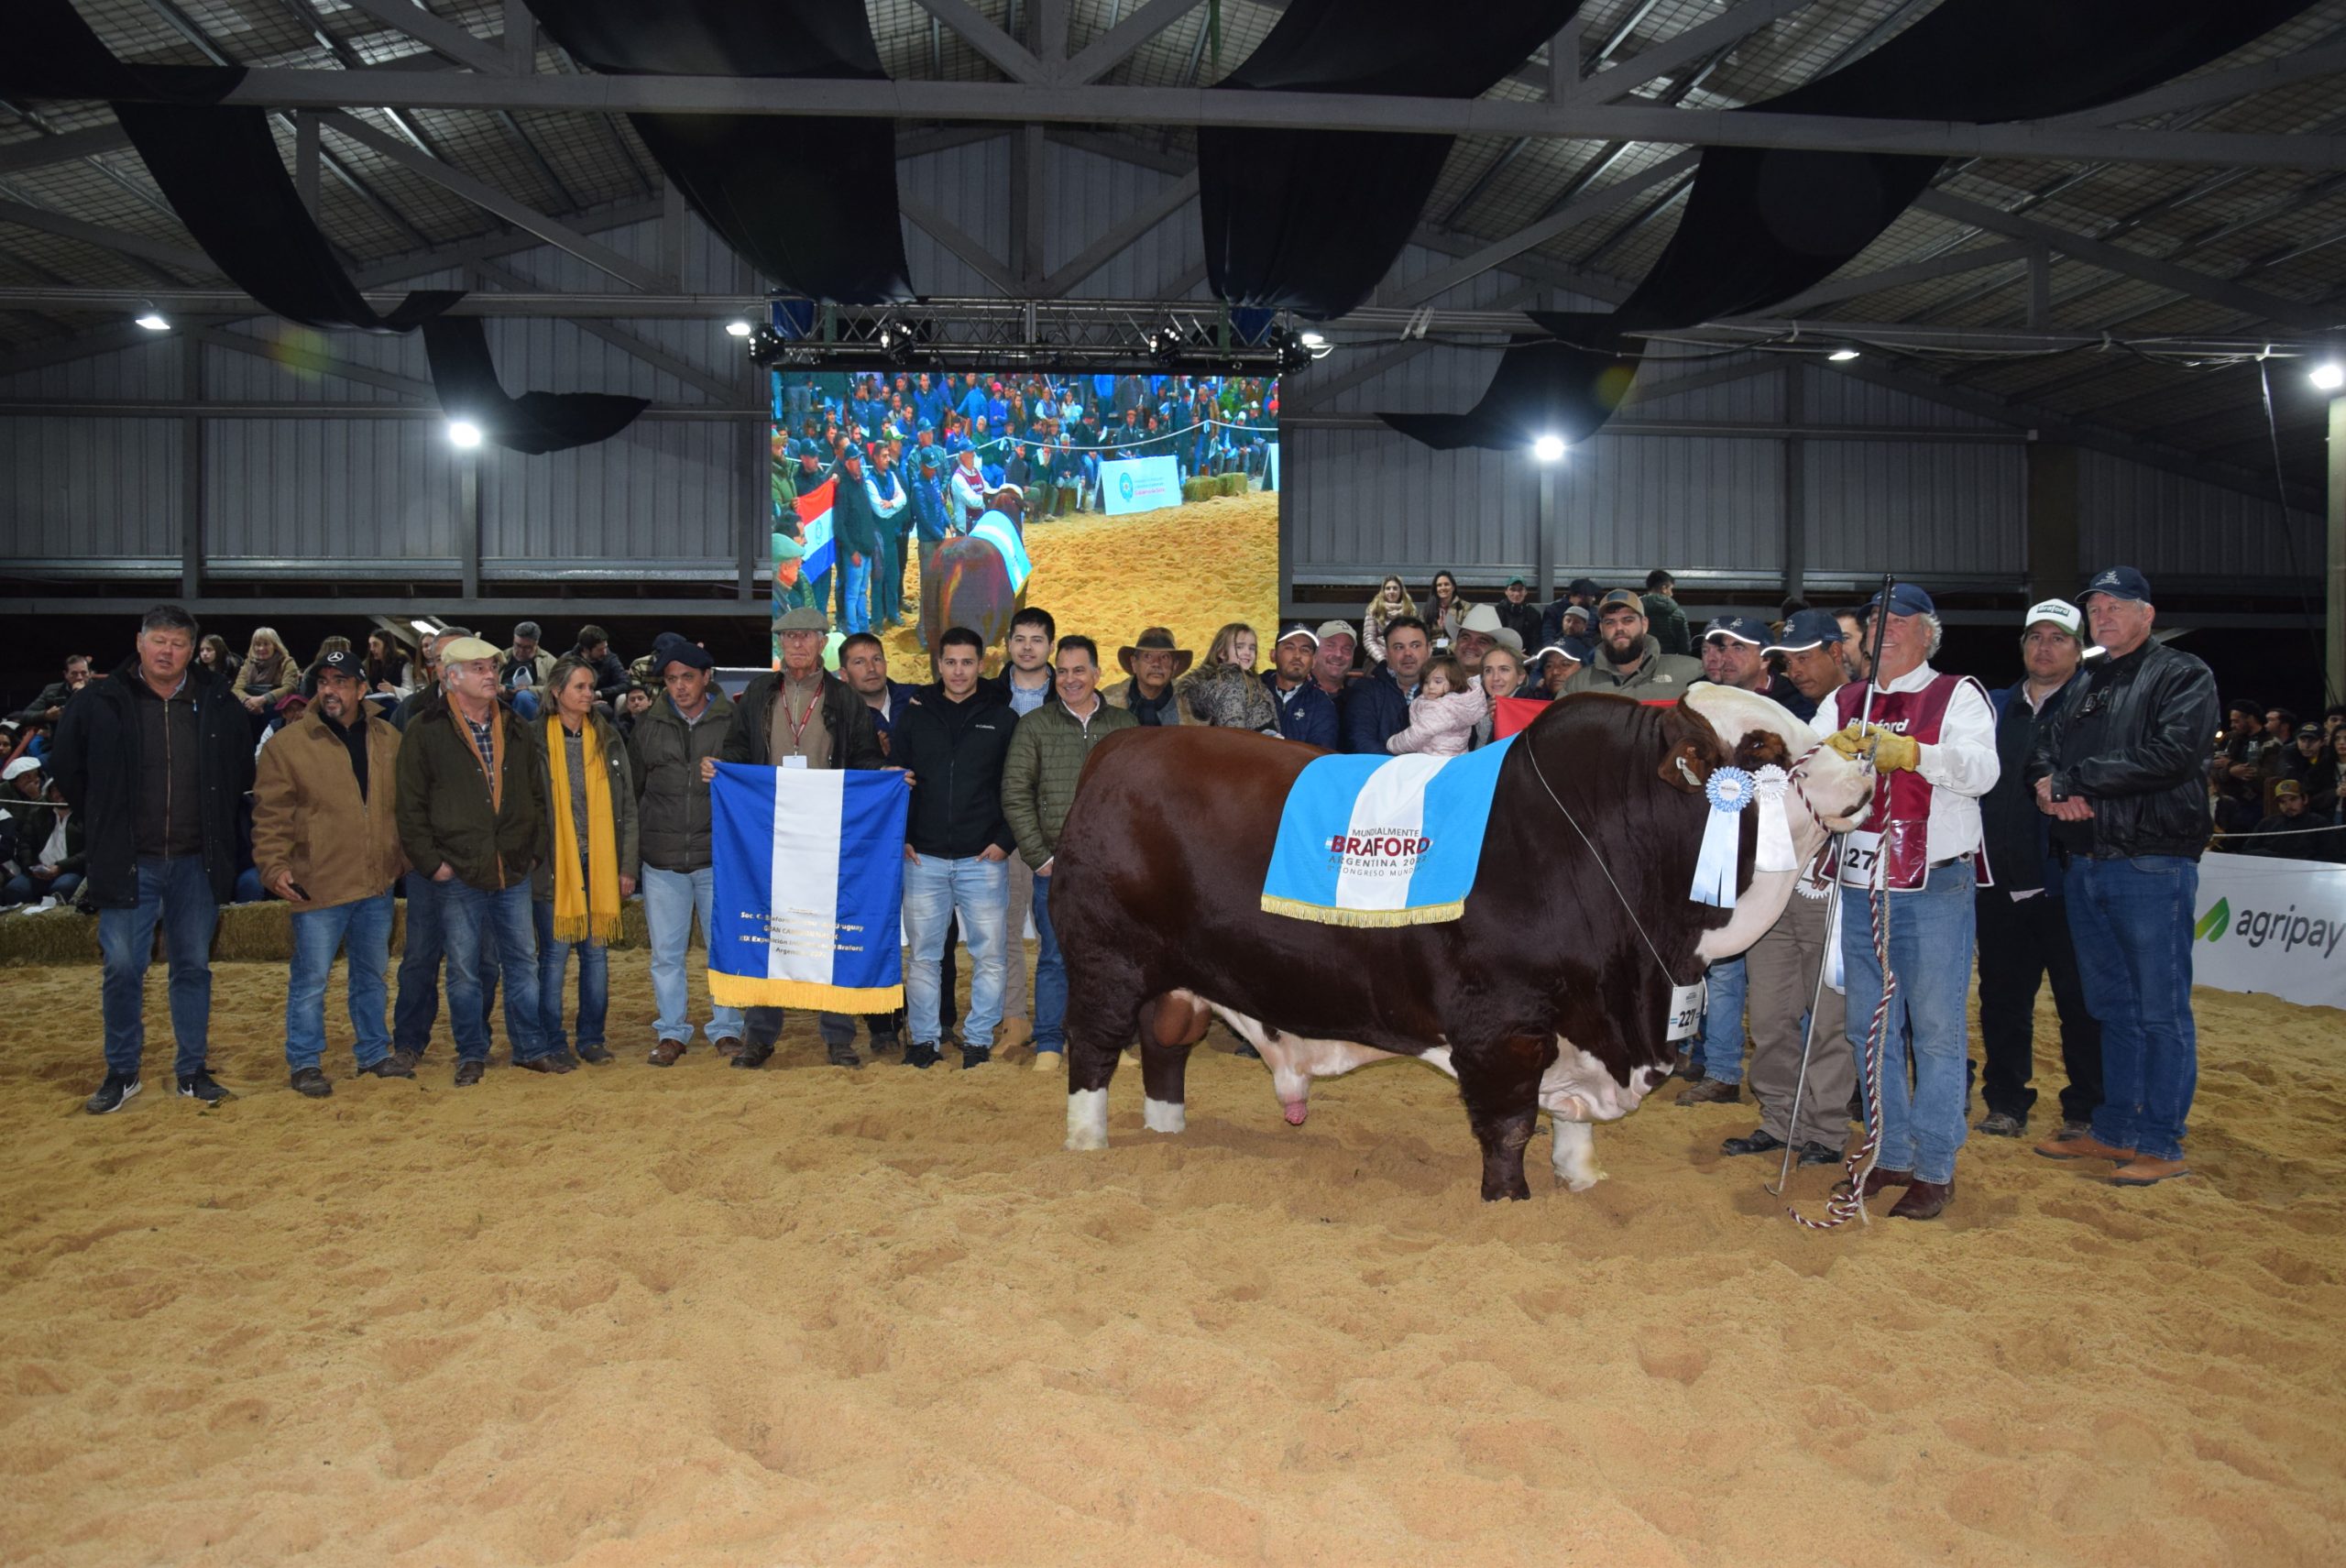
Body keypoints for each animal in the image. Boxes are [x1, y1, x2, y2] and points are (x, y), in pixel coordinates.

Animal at [1046, 685, 1867, 1201]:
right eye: (1760, 744)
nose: (1863, 766)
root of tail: (1118, 747)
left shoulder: (1587, 1021)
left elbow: (1570, 1124)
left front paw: (1583, 1180)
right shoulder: (1504, 1021)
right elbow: (1509, 1122)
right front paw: (1510, 1200)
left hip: (1175, 977)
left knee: (1165, 1046)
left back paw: (1167, 1133)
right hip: (1105, 961)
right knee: (1093, 1048)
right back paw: (1086, 1145)